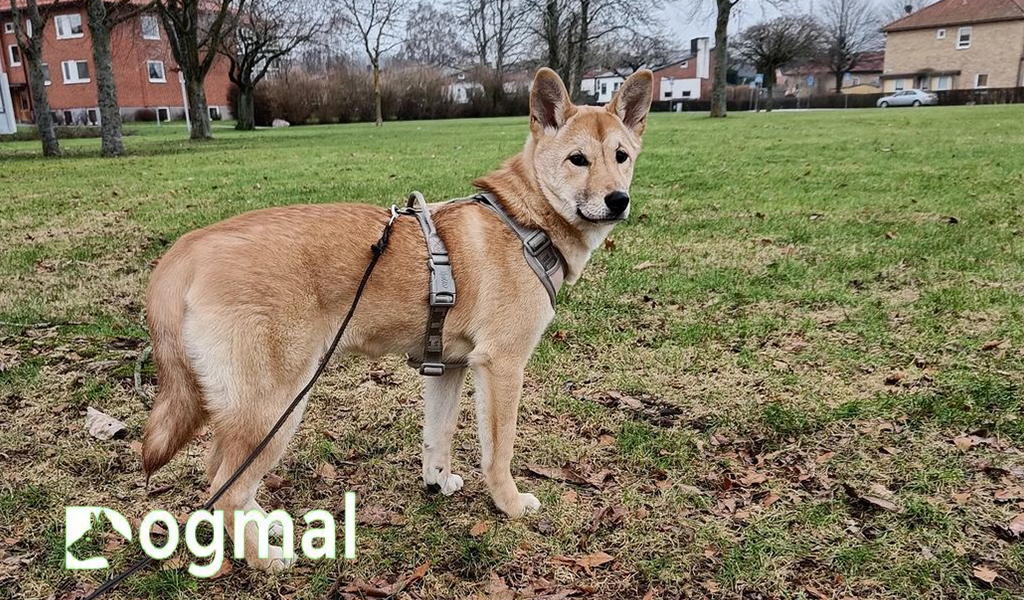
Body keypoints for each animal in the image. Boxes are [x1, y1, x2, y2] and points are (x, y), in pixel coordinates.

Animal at [140, 67, 651, 569]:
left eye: (621, 156)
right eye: (577, 159)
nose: (618, 200)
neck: (525, 220)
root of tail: (191, 246)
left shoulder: (448, 368)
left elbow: (438, 437)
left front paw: (438, 482)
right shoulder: (502, 368)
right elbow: (498, 451)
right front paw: (508, 504)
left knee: (222, 476)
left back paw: (263, 527)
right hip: (275, 407)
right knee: (223, 490)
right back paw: (263, 557)